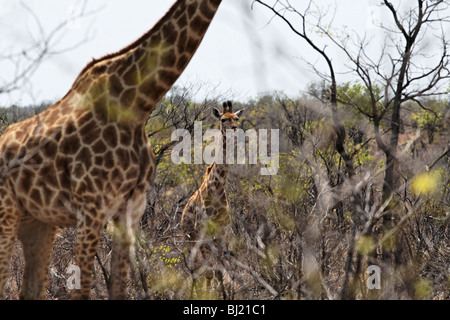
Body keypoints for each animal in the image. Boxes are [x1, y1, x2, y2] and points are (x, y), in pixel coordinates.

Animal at [0, 0, 223, 300]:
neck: (138, 103)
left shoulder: (130, 208)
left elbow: (119, 288)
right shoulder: (91, 208)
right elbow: (82, 290)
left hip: (37, 222)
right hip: (7, 213)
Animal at [181, 100, 243, 296]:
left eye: (236, 118)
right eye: (223, 119)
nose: (234, 129)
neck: (216, 188)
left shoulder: (223, 233)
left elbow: (221, 271)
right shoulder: (203, 233)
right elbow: (212, 271)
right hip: (191, 240)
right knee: (196, 271)